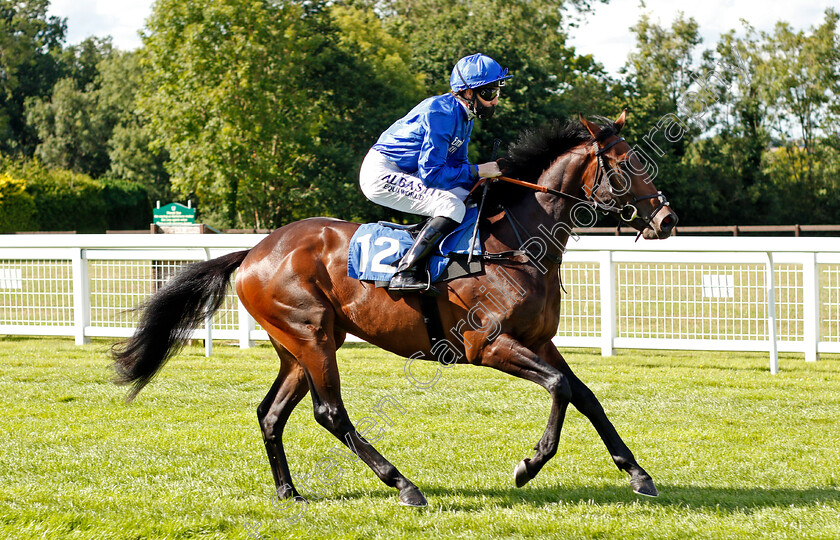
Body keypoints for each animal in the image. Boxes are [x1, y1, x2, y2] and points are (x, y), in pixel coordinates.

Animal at [111, 109, 680, 506]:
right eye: (624, 165)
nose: (668, 219)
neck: (514, 242)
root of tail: (253, 251)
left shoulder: (540, 341)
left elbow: (586, 395)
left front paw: (638, 474)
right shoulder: (488, 346)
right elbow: (561, 388)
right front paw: (529, 465)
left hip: (299, 345)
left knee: (270, 414)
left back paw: (289, 492)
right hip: (313, 337)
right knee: (329, 412)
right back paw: (402, 483)